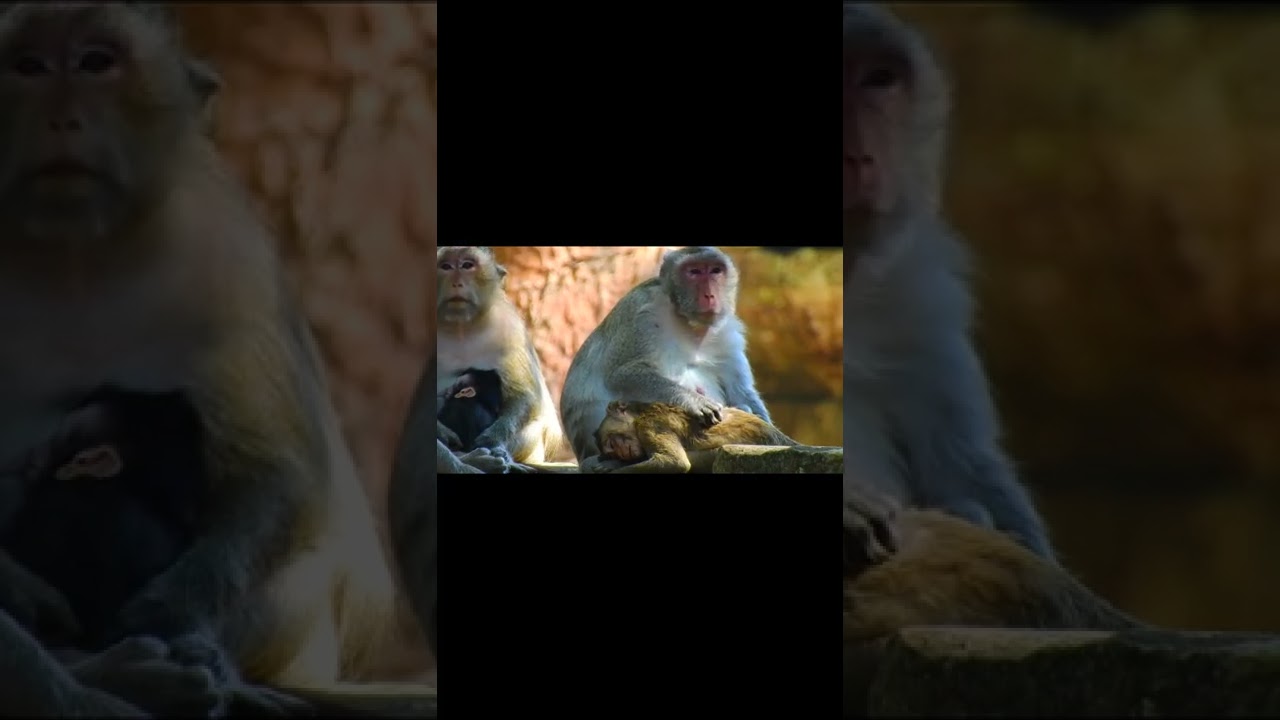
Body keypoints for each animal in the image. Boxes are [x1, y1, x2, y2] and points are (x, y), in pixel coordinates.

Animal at [0, 1, 398, 697]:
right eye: (28, 66)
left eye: (96, 62)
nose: (61, 117)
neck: (75, 256)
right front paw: (21, 591)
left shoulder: (230, 262)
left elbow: (283, 473)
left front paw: (171, 612)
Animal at [437, 246, 569, 467]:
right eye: (445, 266)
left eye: (467, 265)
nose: (456, 283)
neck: (460, 327)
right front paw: (444, 434)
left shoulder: (509, 330)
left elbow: (525, 396)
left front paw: (492, 440)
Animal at [560, 246, 771, 473]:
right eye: (694, 271)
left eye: (715, 270)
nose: (709, 295)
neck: (690, 324)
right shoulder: (642, 312)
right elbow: (623, 373)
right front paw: (694, 401)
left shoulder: (728, 333)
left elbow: (742, 392)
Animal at [594, 399, 797, 474]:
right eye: (612, 451)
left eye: (612, 442)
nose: (620, 453)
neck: (638, 416)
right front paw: (613, 463)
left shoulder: (651, 424)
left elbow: (673, 463)